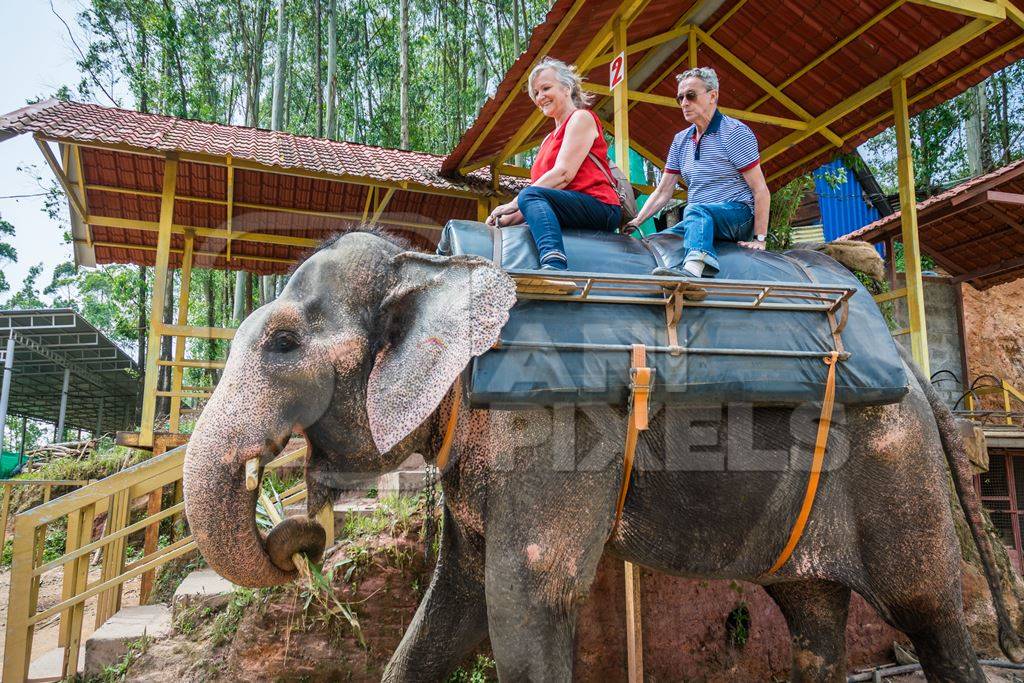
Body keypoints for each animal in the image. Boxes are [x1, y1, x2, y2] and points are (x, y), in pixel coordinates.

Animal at [184, 227, 1024, 679]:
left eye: (282, 343)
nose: (300, 536)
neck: (432, 264)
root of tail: (910, 359)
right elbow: (454, 602)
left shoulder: (555, 432)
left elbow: (521, 600)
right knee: (813, 615)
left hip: (895, 459)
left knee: (928, 612)